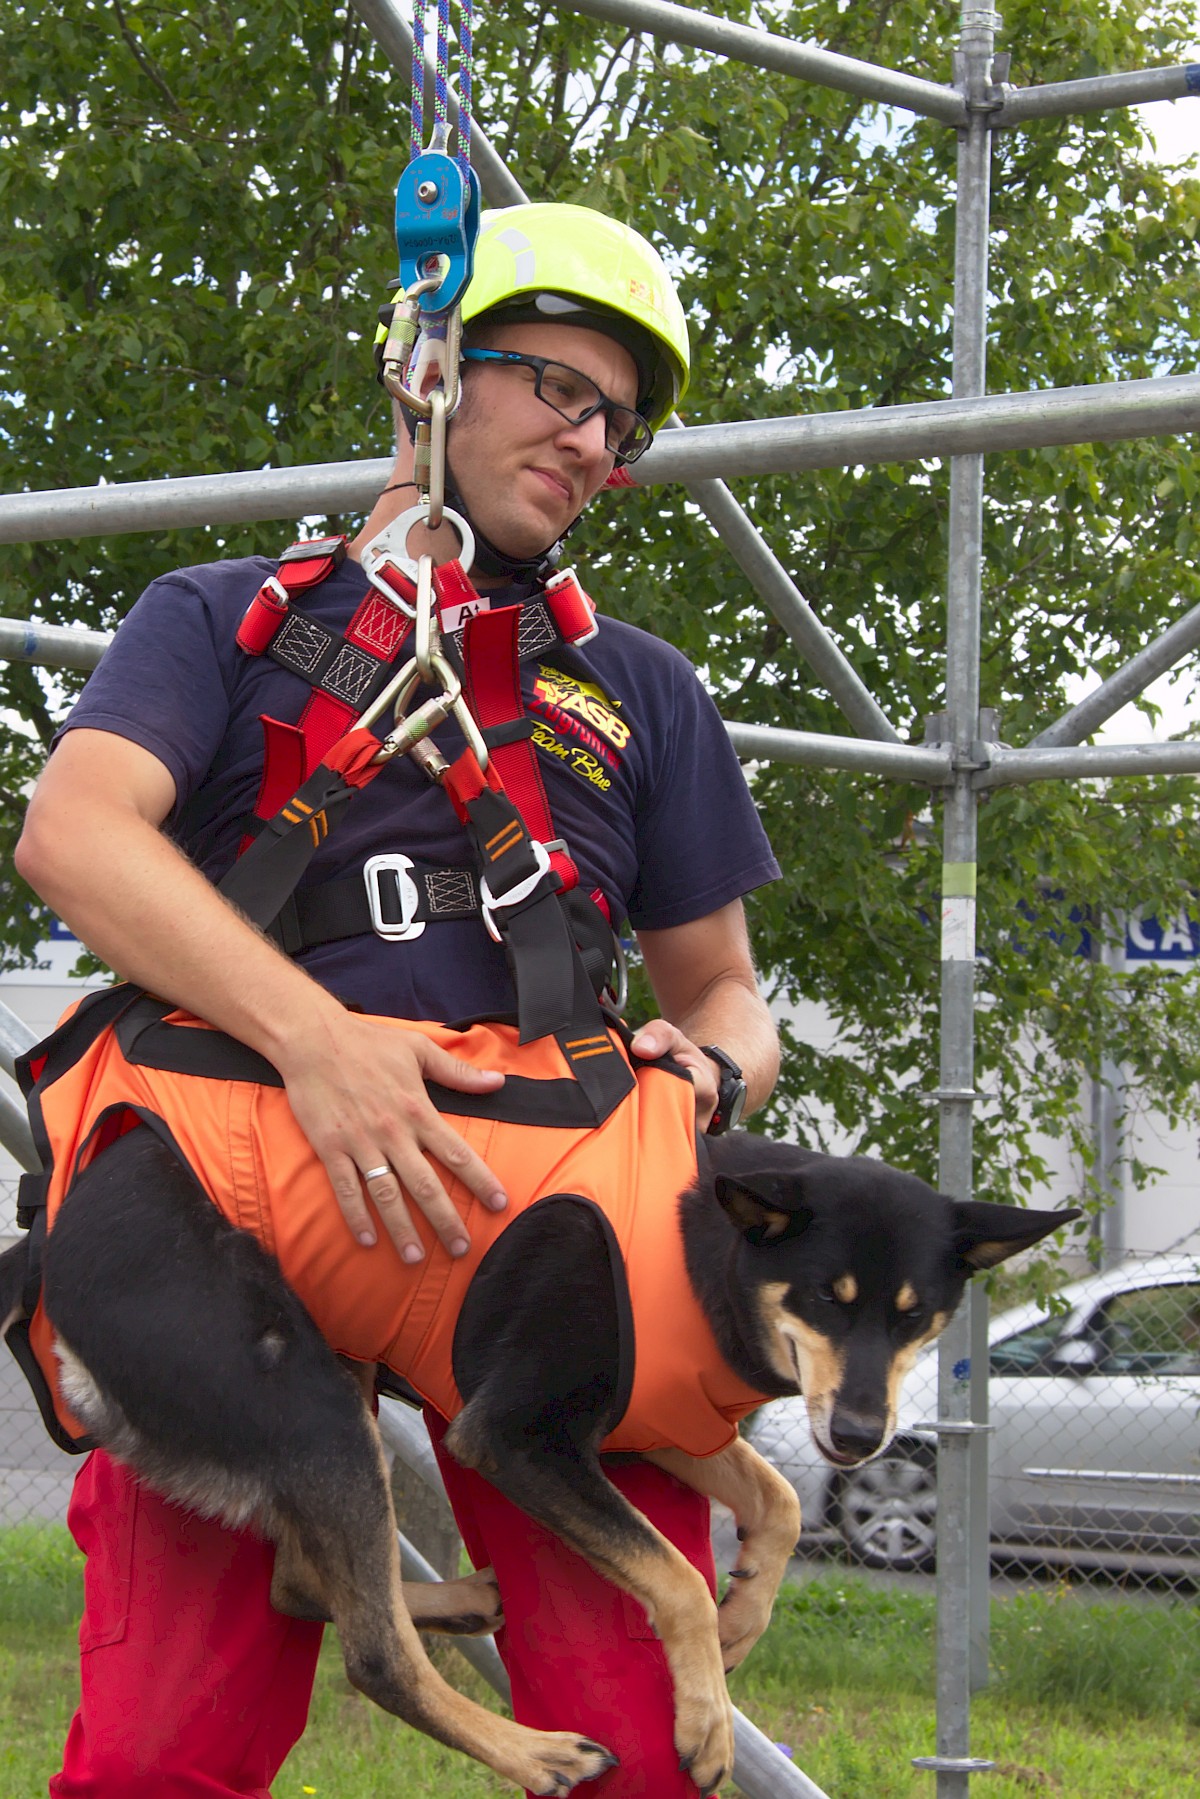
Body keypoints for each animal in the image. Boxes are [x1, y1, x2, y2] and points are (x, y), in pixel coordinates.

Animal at [0, 1115, 1072, 1791]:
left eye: (916, 1315)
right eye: (824, 1297)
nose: (857, 1436)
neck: (697, 1242)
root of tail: (52, 1239)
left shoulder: (648, 1414)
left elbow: (777, 1497)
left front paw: (745, 1616)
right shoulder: (516, 1434)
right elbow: (678, 1574)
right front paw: (707, 1713)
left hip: (339, 1370)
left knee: (303, 1581)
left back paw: (463, 1597)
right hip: (312, 1400)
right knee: (373, 1654)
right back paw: (537, 1751)